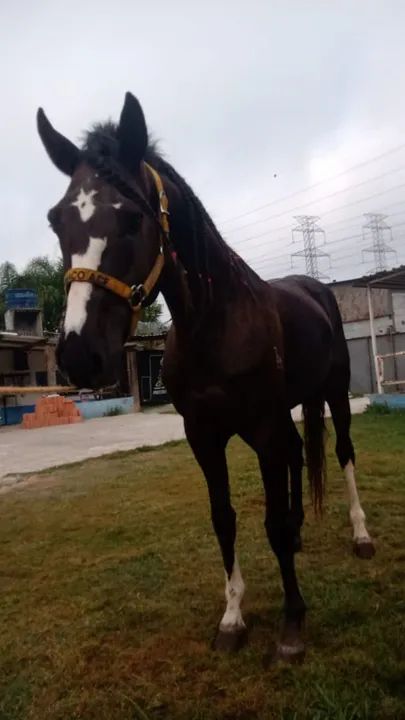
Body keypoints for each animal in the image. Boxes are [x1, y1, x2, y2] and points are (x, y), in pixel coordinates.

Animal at [36, 92, 375, 661]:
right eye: (56, 220)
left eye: (132, 217)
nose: (81, 355)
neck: (215, 323)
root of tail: (314, 288)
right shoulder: (203, 435)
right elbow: (225, 519)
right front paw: (233, 617)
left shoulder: (261, 427)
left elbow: (271, 523)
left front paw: (292, 623)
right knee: (298, 458)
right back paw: (303, 531)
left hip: (334, 396)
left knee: (344, 453)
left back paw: (360, 535)